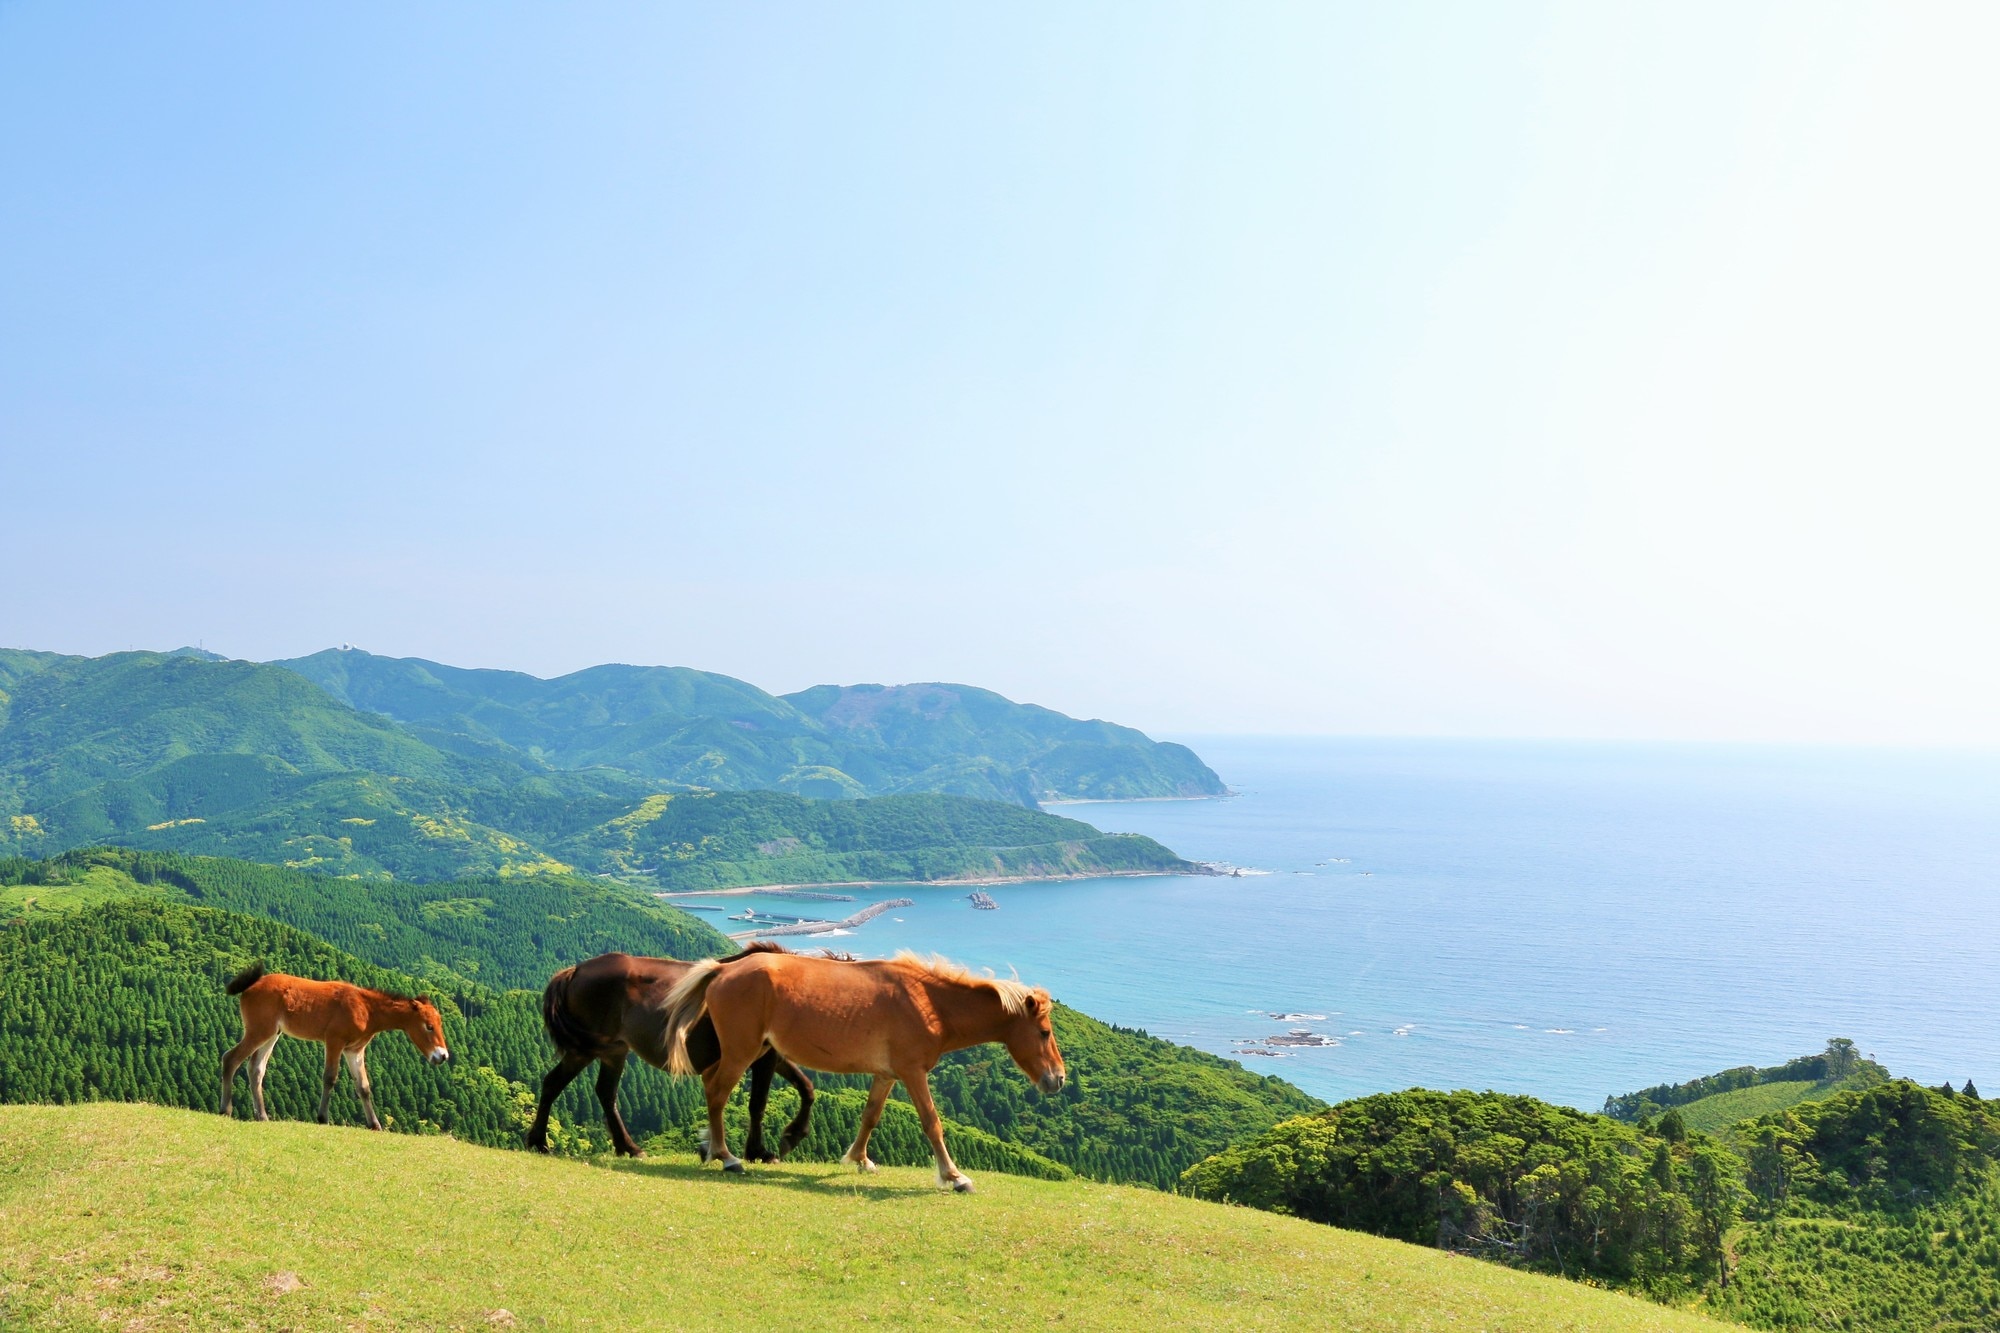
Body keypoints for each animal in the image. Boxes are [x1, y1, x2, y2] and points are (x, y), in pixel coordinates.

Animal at [222, 960, 450, 1128]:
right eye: (429, 1026)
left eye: (440, 1024)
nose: (443, 1056)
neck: (366, 1008)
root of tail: (250, 986)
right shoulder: (334, 1041)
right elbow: (330, 1078)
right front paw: (323, 1118)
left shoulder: (354, 1050)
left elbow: (363, 1086)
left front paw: (375, 1124)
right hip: (259, 1031)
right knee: (230, 1059)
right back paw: (226, 1109)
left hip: (271, 1034)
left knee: (256, 1069)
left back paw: (262, 1116)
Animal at [532, 944, 820, 1152]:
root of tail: (575, 970)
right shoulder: (763, 1055)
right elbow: (758, 1102)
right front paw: (759, 1151)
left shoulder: (768, 1054)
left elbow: (806, 1086)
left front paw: (794, 1134)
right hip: (589, 1049)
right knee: (559, 1084)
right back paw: (541, 1142)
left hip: (610, 1050)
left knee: (597, 1091)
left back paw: (624, 1147)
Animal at [660, 948, 1064, 1184]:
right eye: (1044, 1032)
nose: (1058, 1079)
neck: (929, 1002)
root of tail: (721, 971)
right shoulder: (913, 1073)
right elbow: (931, 1122)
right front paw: (953, 1176)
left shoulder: (886, 1075)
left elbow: (870, 1117)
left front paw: (859, 1159)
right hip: (742, 1051)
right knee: (717, 1092)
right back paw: (727, 1157)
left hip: (749, 1049)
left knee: (710, 1084)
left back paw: (711, 1148)